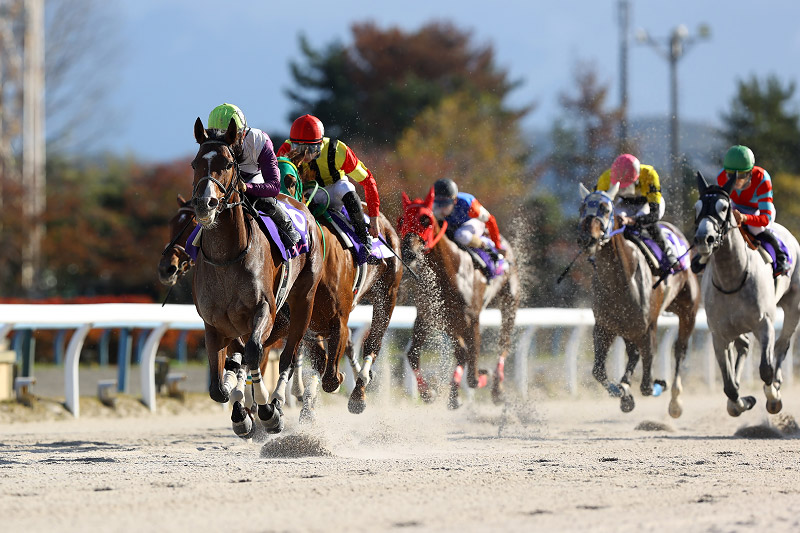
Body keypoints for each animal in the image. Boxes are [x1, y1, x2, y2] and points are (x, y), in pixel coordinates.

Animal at [190, 116, 322, 432]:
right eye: (195, 163)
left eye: (227, 163)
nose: (204, 203)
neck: (226, 258)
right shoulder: (214, 323)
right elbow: (219, 386)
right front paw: (239, 405)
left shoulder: (265, 310)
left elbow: (253, 352)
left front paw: (266, 409)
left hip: (303, 302)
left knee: (287, 357)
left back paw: (276, 402)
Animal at [398, 186, 520, 408]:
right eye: (402, 220)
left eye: (425, 220)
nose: (408, 251)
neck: (450, 270)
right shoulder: (430, 316)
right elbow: (413, 354)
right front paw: (429, 393)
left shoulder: (472, 318)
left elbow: (472, 370)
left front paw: (480, 377)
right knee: (461, 351)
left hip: (510, 301)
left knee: (503, 344)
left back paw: (497, 390)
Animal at [576, 183, 700, 416]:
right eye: (581, 208)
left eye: (606, 208)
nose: (587, 238)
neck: (619, 281)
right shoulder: (605, 327)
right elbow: (598, 371)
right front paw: (622, 393)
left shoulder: (647, 326)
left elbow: (647, 384)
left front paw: (657, 384)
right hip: (627, 327)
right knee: (633, 354)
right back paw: (625, 385)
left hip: (688, 311)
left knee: (679, 350)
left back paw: (675, 401)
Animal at [692, 172, 800, 414]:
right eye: (697, 207)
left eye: (724, 207)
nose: (704, 239)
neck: (732, 277)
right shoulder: (719, 334)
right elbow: (729, 386)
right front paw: (741, 402)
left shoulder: (764, 324)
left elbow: (766, 369)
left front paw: (773, 397)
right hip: (736, 326)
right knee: (744, 345)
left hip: (793, 307)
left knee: (782, 345)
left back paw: (777, 383)